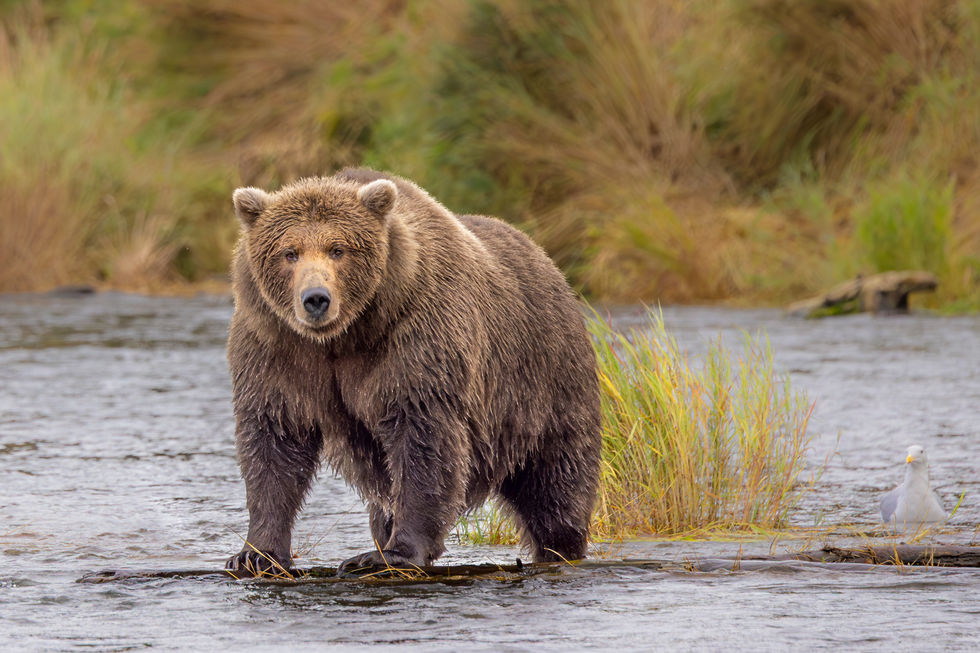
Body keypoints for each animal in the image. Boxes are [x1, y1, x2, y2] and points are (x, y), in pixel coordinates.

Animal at [224, 168, 601, 576]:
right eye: (289, 252)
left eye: (338, 249)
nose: (315, 299)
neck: (343, 337)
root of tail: (547, 261)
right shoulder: (276, 347)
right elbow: (275, 439)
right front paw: (255, 553)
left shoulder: (413, 337)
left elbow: (421, 436)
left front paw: (391, 553)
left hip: (543, 381)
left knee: (555, 477)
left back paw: (560, 544)